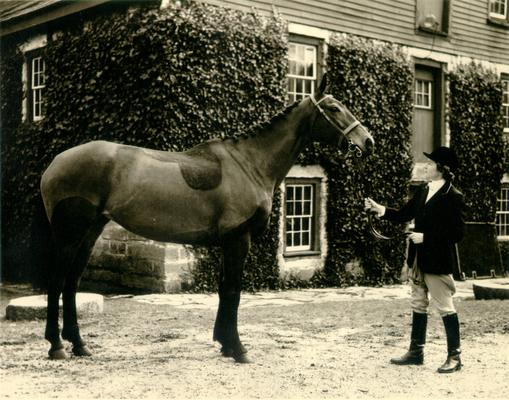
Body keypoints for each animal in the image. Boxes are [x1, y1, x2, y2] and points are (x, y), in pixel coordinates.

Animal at [39, 74, 372, 362]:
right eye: (334, 108)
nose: (367, 141)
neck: (250, 164)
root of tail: (54, 164)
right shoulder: (239, 240)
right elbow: (234, 291)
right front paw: (238, 349)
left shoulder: (228, 243)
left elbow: (224, 290)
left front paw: (224, 343)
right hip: (70, 234)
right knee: (56, 281)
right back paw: (56, 346)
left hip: (89, 234)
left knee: (71, 282)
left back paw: (79, 345)